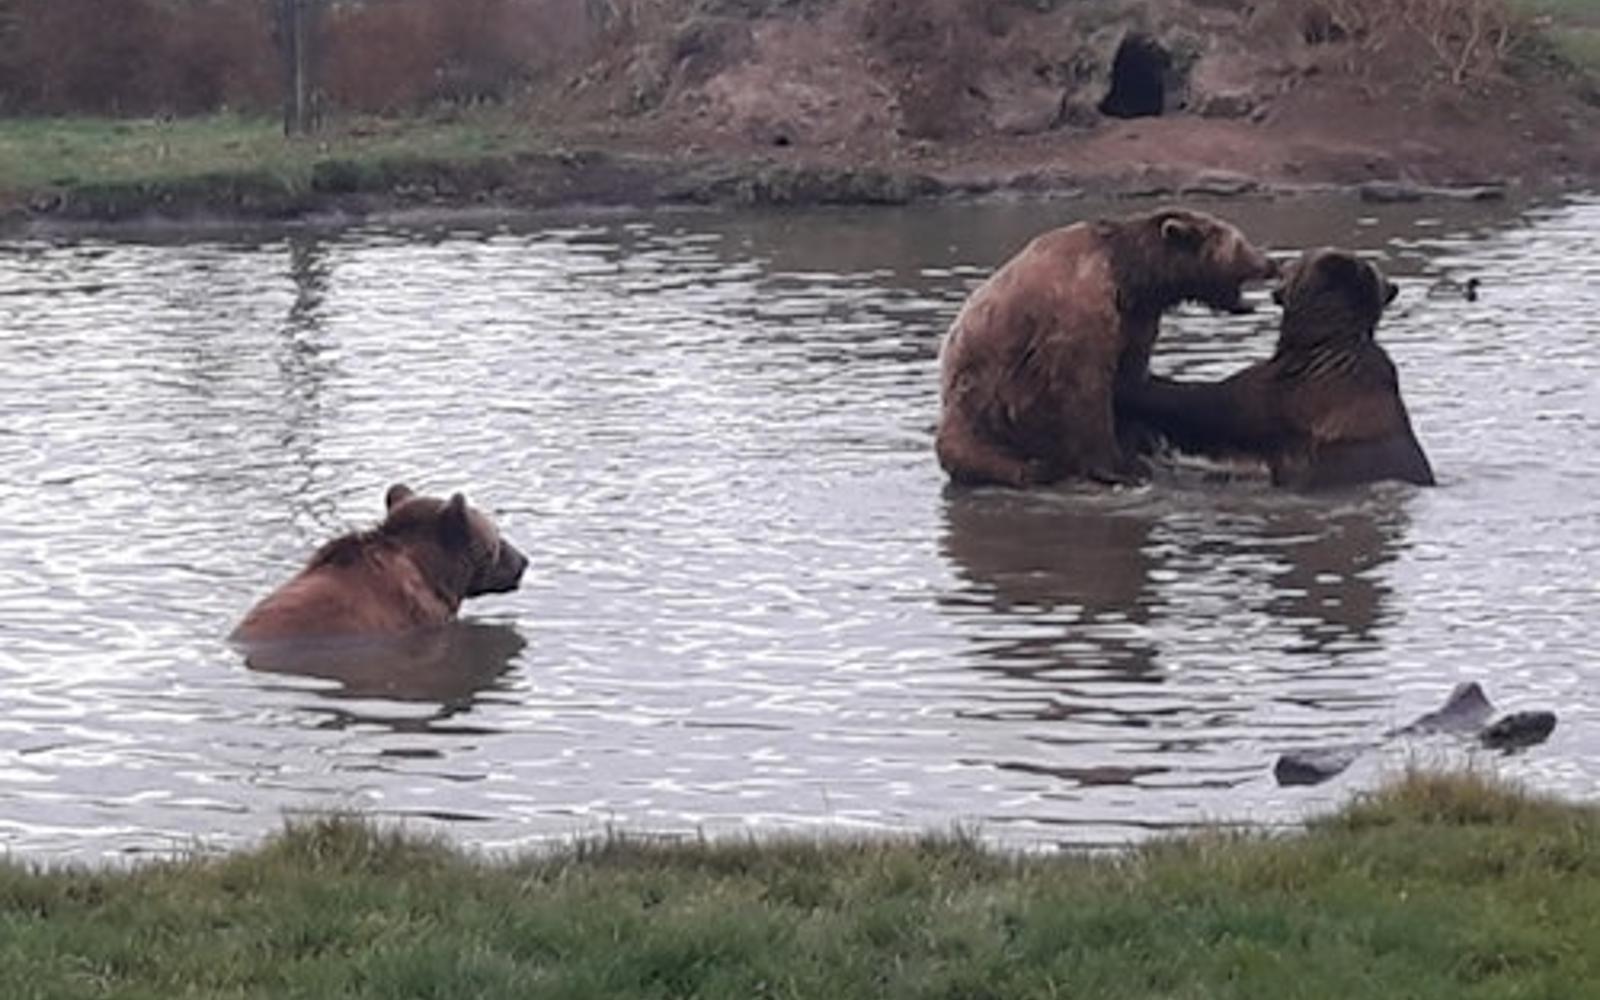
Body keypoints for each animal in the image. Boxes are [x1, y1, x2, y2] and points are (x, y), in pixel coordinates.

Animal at [935, 207, 1277, 487]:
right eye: (1241, 242)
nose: (1270, 262)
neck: (1134, 277)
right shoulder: (1080, 312)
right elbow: (1085, 388)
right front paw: (1121, 468)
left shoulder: (1135, 319)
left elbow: (1128, 381)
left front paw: (1141, 448)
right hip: (980, 406)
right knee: (981, 451)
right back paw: (1036, 468)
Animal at [1116, 247, 1435, 491]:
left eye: (1300, 261)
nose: (1279, 263)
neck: (1324, 341)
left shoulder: (1277, 399)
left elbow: (1207, 406)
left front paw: (1132, 383)